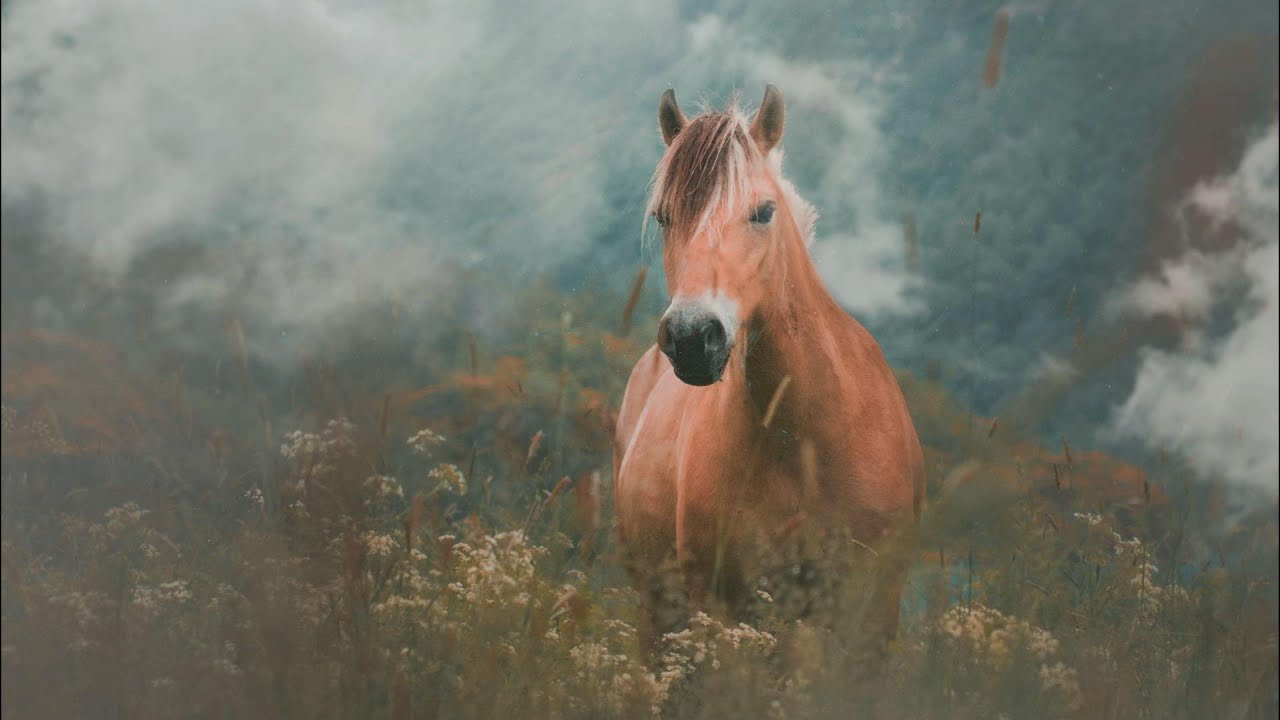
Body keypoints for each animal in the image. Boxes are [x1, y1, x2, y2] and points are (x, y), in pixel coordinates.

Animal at [612, 85, 926, 663]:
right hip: (658, 610)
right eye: (664, 217)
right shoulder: (722, 607)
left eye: (763, 212)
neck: (804, 438)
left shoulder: (873, 612)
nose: (692, 338)